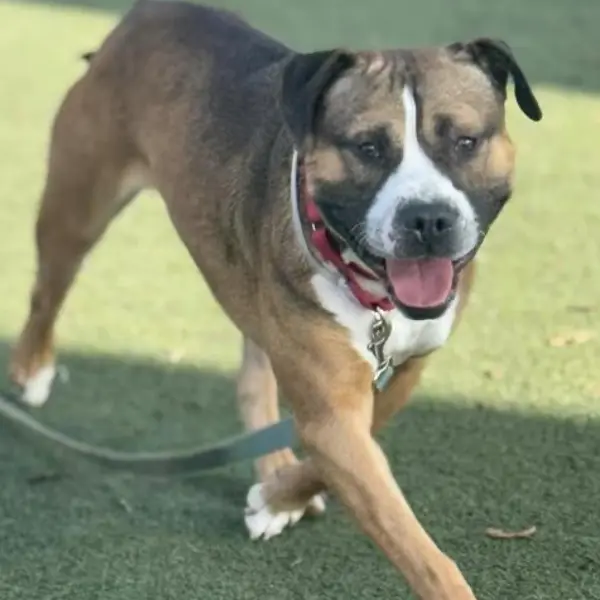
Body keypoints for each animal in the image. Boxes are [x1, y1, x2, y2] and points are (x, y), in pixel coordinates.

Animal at [10, 2, 544, 596]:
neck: (370, 292)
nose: (426, 218)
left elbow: (362, 432)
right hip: (76, 209)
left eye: (465, 141)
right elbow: (417, 548)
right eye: (368, 147)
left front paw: (278, 495)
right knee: (45, 293)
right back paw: (32, 370)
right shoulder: (332, 414)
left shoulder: (400, 371)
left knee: (253, 372)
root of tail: (146, 15)